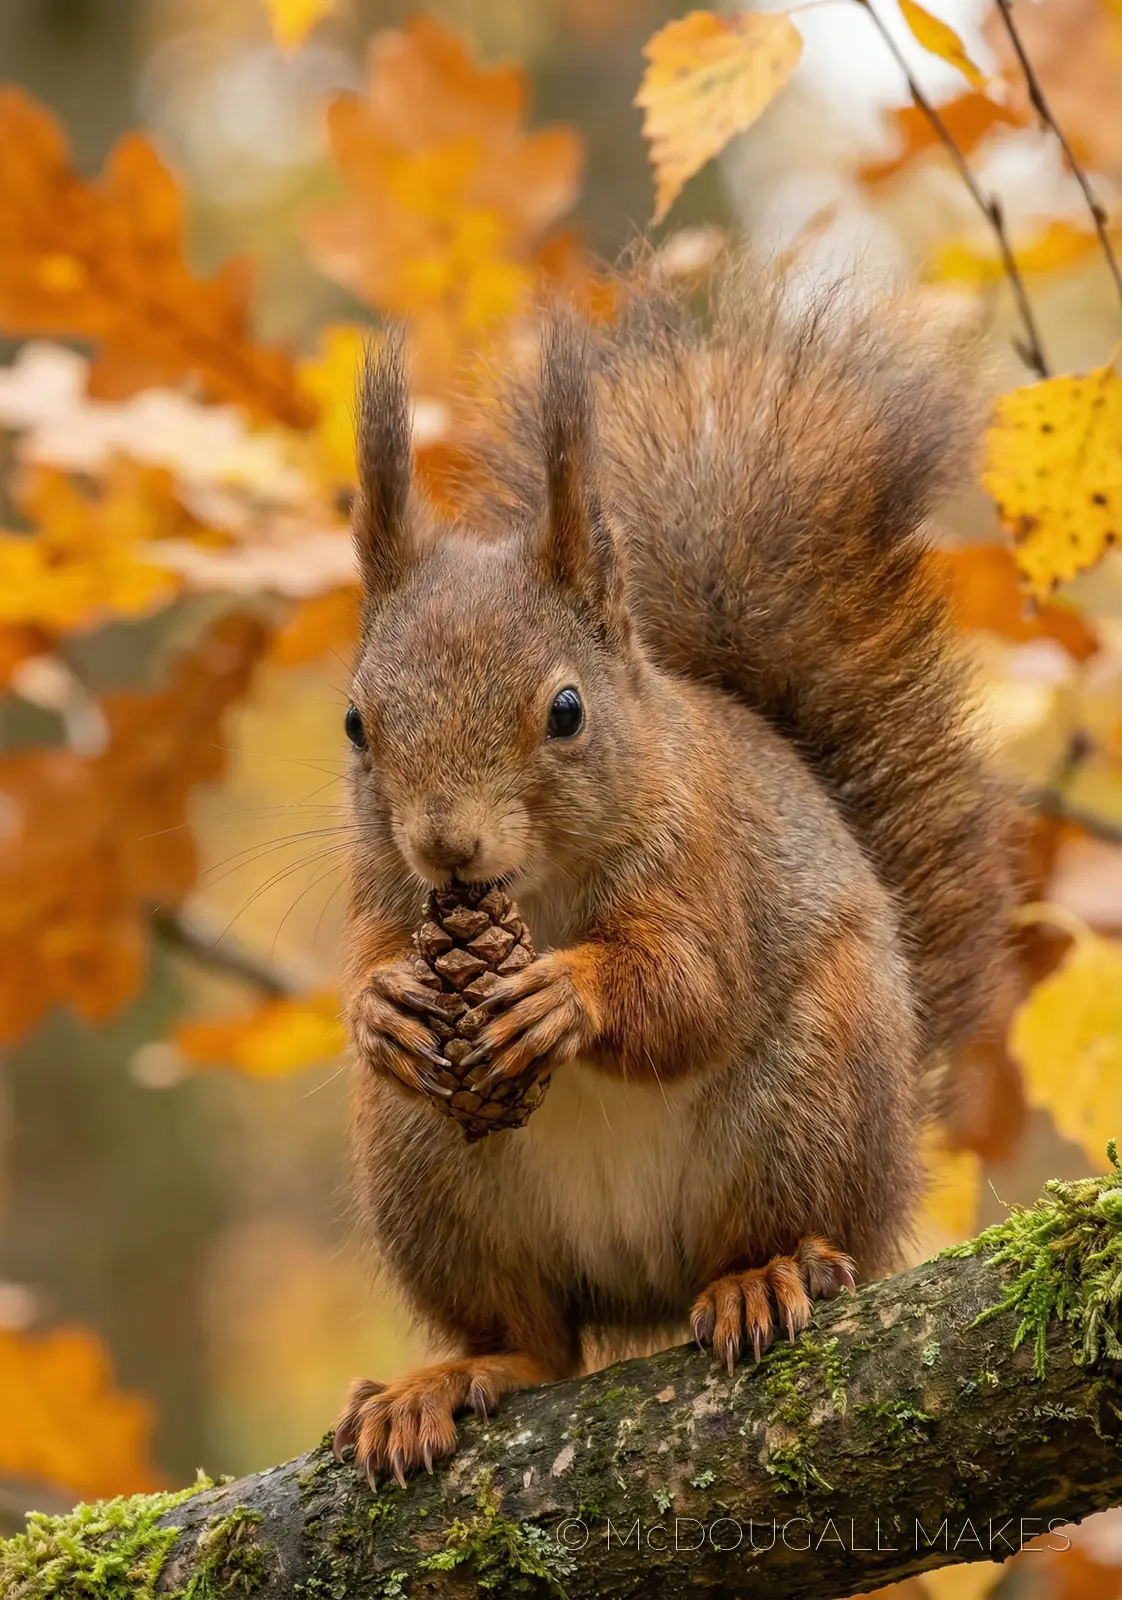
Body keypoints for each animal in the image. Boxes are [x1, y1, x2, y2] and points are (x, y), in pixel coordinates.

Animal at [332, 262, 1015, 1487]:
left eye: (566, 710)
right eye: (358, 724)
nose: (446, 846)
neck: (531, 891)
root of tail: (642, 1285)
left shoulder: (704, 861)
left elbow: (690, 987)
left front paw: (563, 993)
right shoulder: (381, 889)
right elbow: (368, 963)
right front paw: (384, 1005)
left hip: (810, 1102)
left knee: (777, 1231)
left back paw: (760, 1278)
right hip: (427, 1174)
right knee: (538, 1343)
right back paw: (448, 1381)